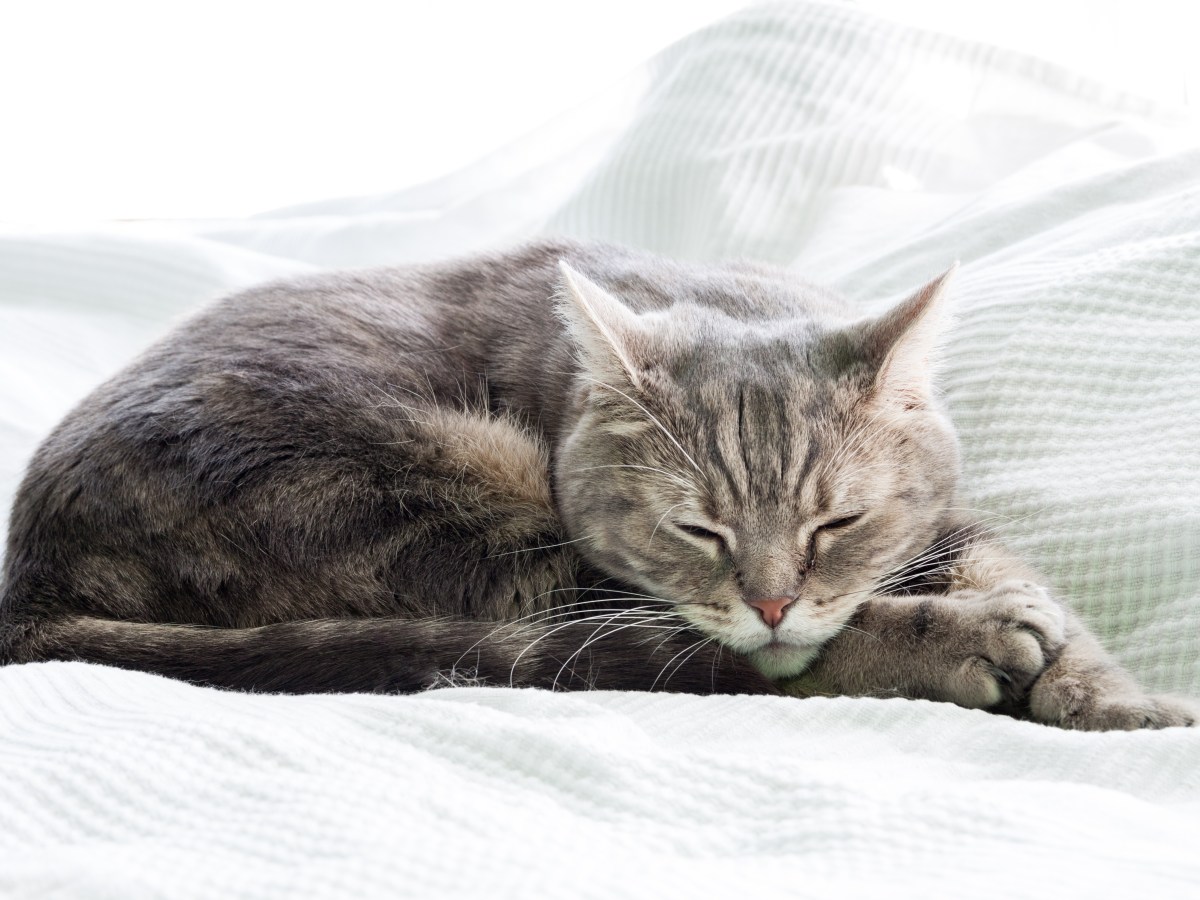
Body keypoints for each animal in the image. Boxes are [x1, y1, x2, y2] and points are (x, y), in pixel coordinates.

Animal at [0, 241, 1195, 734]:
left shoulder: (943, 524)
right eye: (697, 530)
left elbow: (1029, 585)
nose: (773, 598)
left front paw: (1115, 699)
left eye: (836, 522)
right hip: (444, 518)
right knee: (709, 665)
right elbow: (809, 643)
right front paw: (979, 638)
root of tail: (26, 584)